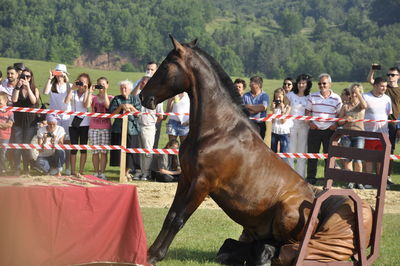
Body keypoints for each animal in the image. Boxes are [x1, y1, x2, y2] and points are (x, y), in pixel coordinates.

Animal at [139, 36, 370, 264]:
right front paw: (151, 252)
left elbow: (178, 219)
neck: (216, 130)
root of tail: (316, 210)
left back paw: (262, 256)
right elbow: (170, 216)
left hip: (285, 213)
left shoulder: (202, 183)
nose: (143, 97)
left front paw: (154, 256)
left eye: (166, 66)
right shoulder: (186, 179)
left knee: (286, 247)